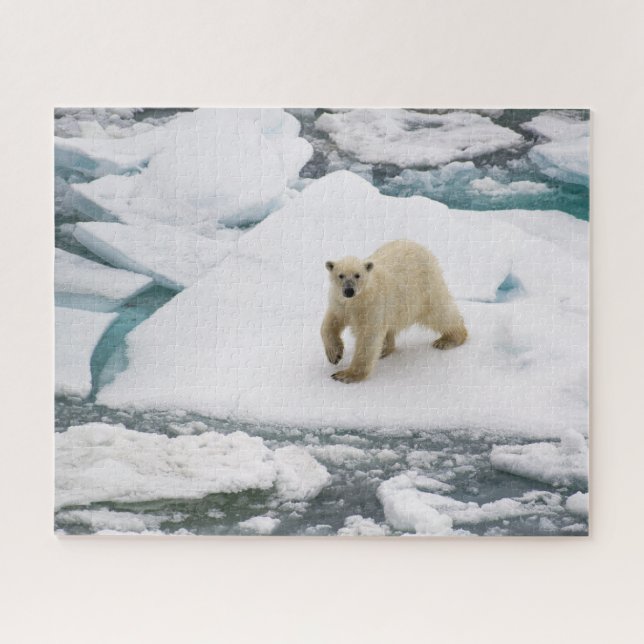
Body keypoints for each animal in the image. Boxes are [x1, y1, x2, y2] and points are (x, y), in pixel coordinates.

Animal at [321, 239, 467, 383]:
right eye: (340, 275)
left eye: (358, 275)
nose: (349, 291)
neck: (357, 300)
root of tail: (421, 248)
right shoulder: (340, 304)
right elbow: (330, 323)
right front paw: (334, 354)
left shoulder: (371, 305)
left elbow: (368, 337)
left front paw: (346, 375)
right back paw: (384, 349)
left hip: (425, 289)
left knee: (440, 313)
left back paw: (448, 340)